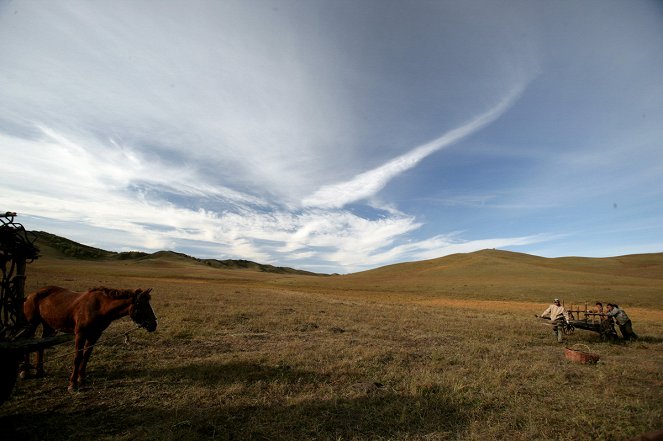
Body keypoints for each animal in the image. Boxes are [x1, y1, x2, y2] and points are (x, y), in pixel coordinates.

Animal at [21, 286, 158, 388]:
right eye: (143, 305)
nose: (154, 324)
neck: (99, 307)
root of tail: (30, 295)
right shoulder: (80, 334)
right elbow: (77, 357)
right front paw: (72, 383)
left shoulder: (95, 335)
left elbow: (86, 355)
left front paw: (81, 378)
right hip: (31, 325)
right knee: (27, 343)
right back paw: (25, 372)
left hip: (48, 326)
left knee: (41, 347)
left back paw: (39, 371)